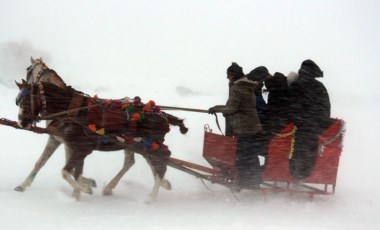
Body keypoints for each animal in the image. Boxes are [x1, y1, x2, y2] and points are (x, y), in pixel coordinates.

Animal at [15, 80, 188, 201]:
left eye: (26, 100)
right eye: (17, 101)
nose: (22, 122)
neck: (72, 110)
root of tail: (163, 115)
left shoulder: (81, 149)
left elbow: (66, 172)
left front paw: (84, 189)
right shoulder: (64, 143)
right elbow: (50, 165)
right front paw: (77, 195)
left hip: (150, 146)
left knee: (160, 164)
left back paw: (151, 197)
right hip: (140, 146)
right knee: (150, 164)